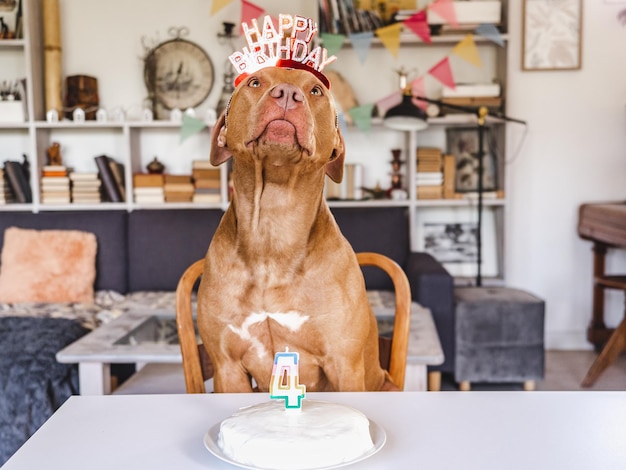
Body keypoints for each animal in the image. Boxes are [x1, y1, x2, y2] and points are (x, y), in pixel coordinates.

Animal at [196, 66, 394, 392]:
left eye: (316, 91)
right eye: (255, 82)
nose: (287, 93)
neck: (273, 227)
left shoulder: (345, 365)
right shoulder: (227, 367)